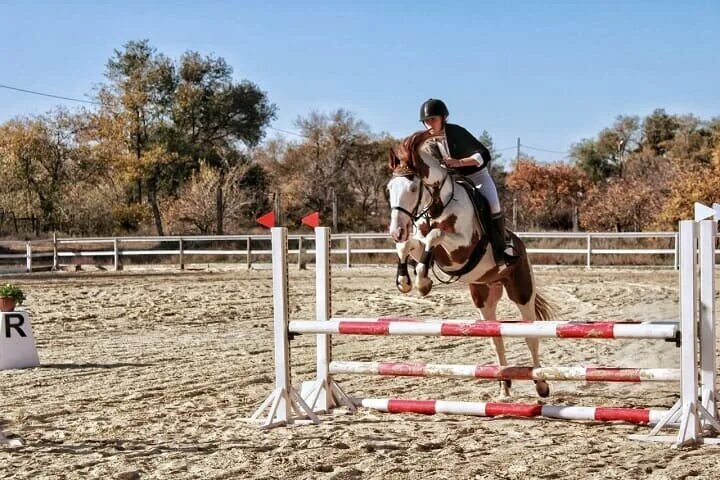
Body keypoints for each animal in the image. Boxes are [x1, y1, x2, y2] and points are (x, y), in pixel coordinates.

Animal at [386, 130, 556, 398]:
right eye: (389, 189)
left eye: (413, 187)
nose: (396, 231)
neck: (439, 204)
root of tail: (520, 245)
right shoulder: (427, 247)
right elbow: (410, 245)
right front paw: (405, 281)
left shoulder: (461, 249)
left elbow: (434, 236)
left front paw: (423, 282)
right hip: (484, 296)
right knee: (496, 338)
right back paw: (504, 386)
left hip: (522, 291)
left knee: (531, 336)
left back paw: (541, 384)